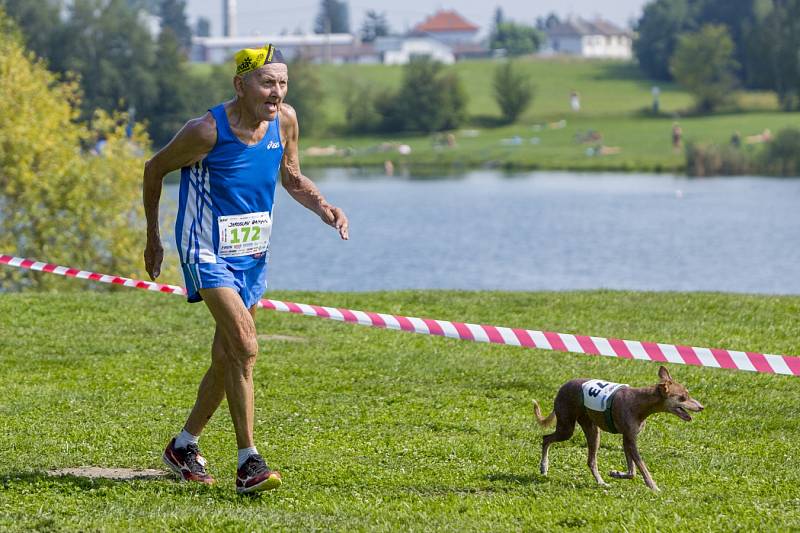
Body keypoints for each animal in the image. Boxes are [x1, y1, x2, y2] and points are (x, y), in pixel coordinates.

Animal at [536, 366, 704, 490]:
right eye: (682, 397)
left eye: (688, 394)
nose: (702, 407)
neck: (640, 402)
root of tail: (563, 386)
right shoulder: (630, 441)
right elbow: (642, 468)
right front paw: (654, 487)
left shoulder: (627, 439)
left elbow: (632, 471)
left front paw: (616, 473)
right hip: (567, 428)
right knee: (546, 439)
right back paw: (544, 467)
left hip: (593, 432)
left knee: (591, 461)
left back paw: (601, 482)